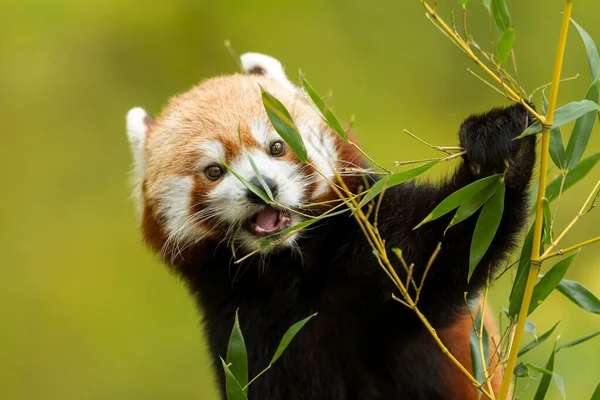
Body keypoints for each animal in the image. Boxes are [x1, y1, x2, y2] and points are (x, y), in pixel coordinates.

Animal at [127, 52, 536, 400]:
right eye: (214, 170)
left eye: (277, 147)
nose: (262, 187)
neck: (286, 269)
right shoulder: (241, 331)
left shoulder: (374, 253)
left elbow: (448, 242)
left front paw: (499, 147)